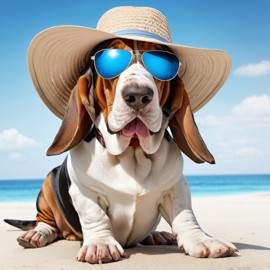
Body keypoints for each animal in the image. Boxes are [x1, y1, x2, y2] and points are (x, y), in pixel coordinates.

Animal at [4, 38, 236, 264]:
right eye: (110, 58)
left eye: (161, 60)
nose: (138, 95)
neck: (133, 151)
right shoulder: (84, 192)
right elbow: (95, 216)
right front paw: (100, 244)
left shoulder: (176, 187)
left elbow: (185, 215)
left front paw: (202, 240)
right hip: (48, 182)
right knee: (45, 221)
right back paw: (36, 234)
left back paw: (156, 235)